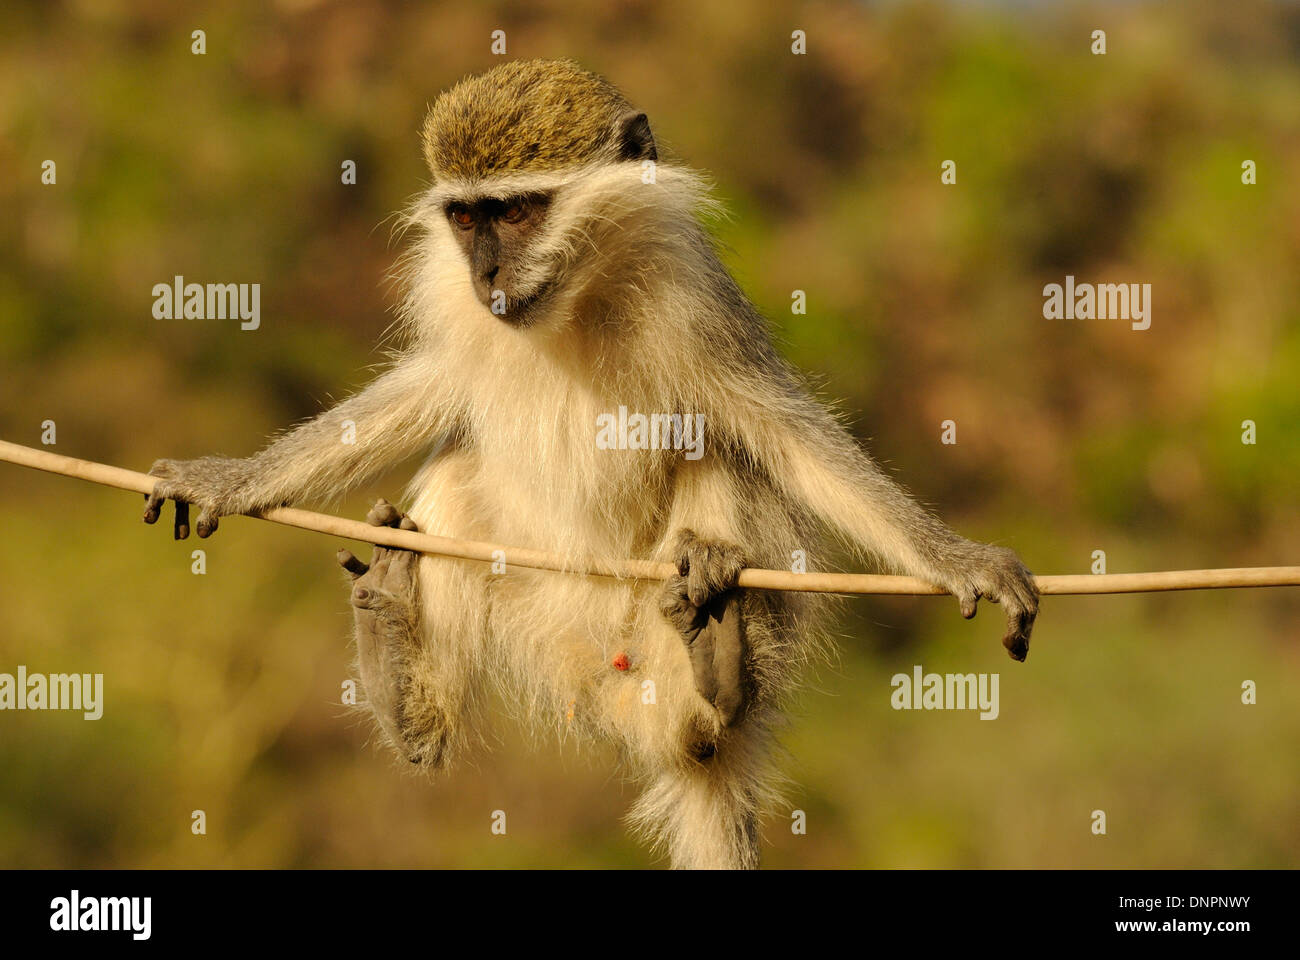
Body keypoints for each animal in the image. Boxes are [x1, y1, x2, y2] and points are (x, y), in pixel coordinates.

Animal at [141, 58, 1037, 869]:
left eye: (518, 211)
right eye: (465, 218)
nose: (486, 272)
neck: (573, 300)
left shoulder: (694, 298)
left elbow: (781, 431)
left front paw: (959, 558)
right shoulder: (458, 306)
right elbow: (421, 395)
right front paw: (232, 478)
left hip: (662, 644)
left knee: (720, 467)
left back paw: (720, 667)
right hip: (540, 617)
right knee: (461, 475)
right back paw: (400, 659)